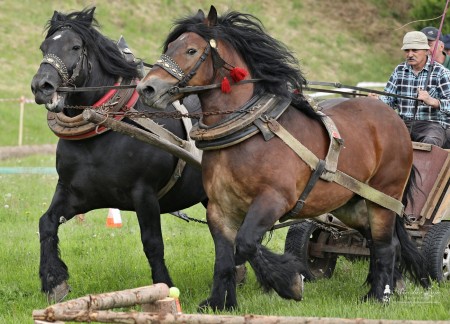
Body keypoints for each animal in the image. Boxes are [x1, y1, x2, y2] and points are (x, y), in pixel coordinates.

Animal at [30, 6, 207, 302]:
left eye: (75, 47)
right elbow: (47, 222)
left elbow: (152, 243)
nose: (41, 86)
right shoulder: (75, 192)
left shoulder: (144, 193)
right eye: (44, 47)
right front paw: (54, 281)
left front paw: (163, 288)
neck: (104, 131)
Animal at [135, 6, 430, 310]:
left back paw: (379, 296)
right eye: (169, 46)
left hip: (383, 197)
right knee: (375, 241)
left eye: (191, 50)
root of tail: (395, 118)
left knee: (385, 245)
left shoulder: (273, 199)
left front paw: (288, 282)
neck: (248, 132)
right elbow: (225, 258)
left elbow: (245, 244)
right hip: (351, 204)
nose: (147, 89)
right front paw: (220, 302)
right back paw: (383, 290)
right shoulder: (219, 208)